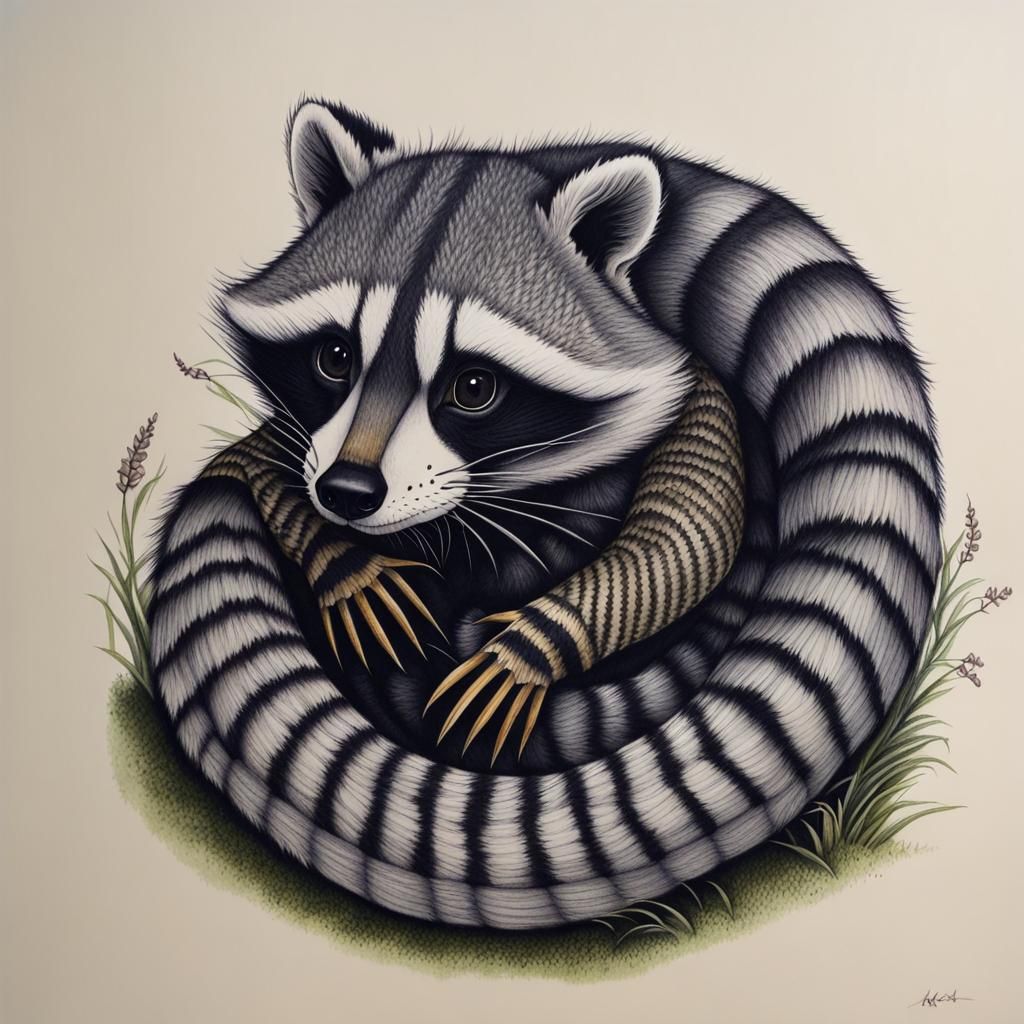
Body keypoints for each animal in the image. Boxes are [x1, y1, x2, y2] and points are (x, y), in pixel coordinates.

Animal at [148, 100, 942, 929]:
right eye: (334, 358)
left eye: (473, 387)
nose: (347, 496)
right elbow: (267, 458)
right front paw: (340, 558)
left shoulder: (694, 398)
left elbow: (691, 538)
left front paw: (538, 639)